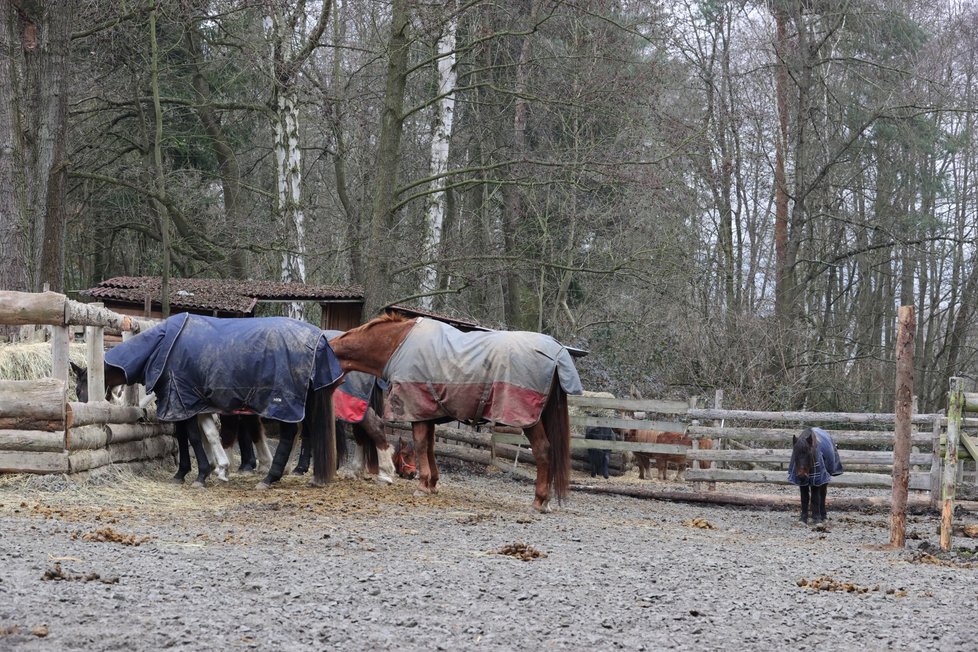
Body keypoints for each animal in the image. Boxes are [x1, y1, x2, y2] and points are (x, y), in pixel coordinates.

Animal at [85, 312, 344, 488]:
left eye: (82, 388)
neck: (163, 346)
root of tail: (319, 338)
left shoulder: (182, 402)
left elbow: (190, 437)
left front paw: (196, 474)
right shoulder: (197, 405)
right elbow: (208, 435)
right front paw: (217, 468)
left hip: (284, 403)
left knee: (290, 435)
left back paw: (271, 476)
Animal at [328, 314, 580, 512]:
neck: (397, 345)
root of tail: (557, 353)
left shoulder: (417, 410)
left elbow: (421, 444)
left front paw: (422, 485)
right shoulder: (428, 413)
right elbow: (430, 446)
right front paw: (432, 483)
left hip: (529, 420)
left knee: (543, 451)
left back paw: (540, 501)